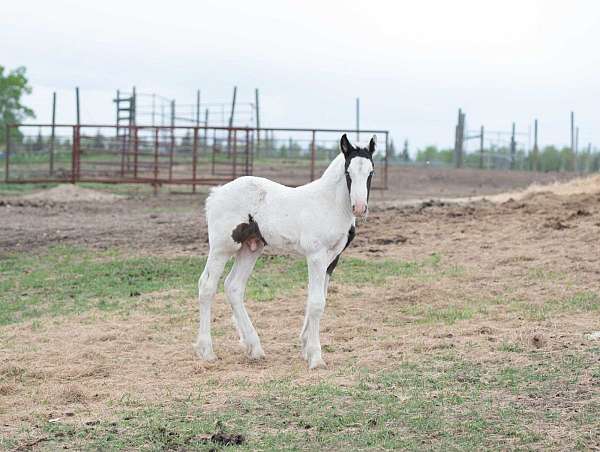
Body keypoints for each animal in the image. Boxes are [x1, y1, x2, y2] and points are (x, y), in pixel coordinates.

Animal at [195, 132, 376, 370]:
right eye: (348, 172)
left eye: (371, 172)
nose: (360, 207)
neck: (329, 204)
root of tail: (216, 194)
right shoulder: (316, 256)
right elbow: (316, 303)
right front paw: (316, 357)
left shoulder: (332, 259)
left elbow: (318, 298)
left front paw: (305, 347)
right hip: (221, 248)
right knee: (207, 286)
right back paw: (207, 351)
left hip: (250, 248)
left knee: (234, 287)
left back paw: (255, 348)